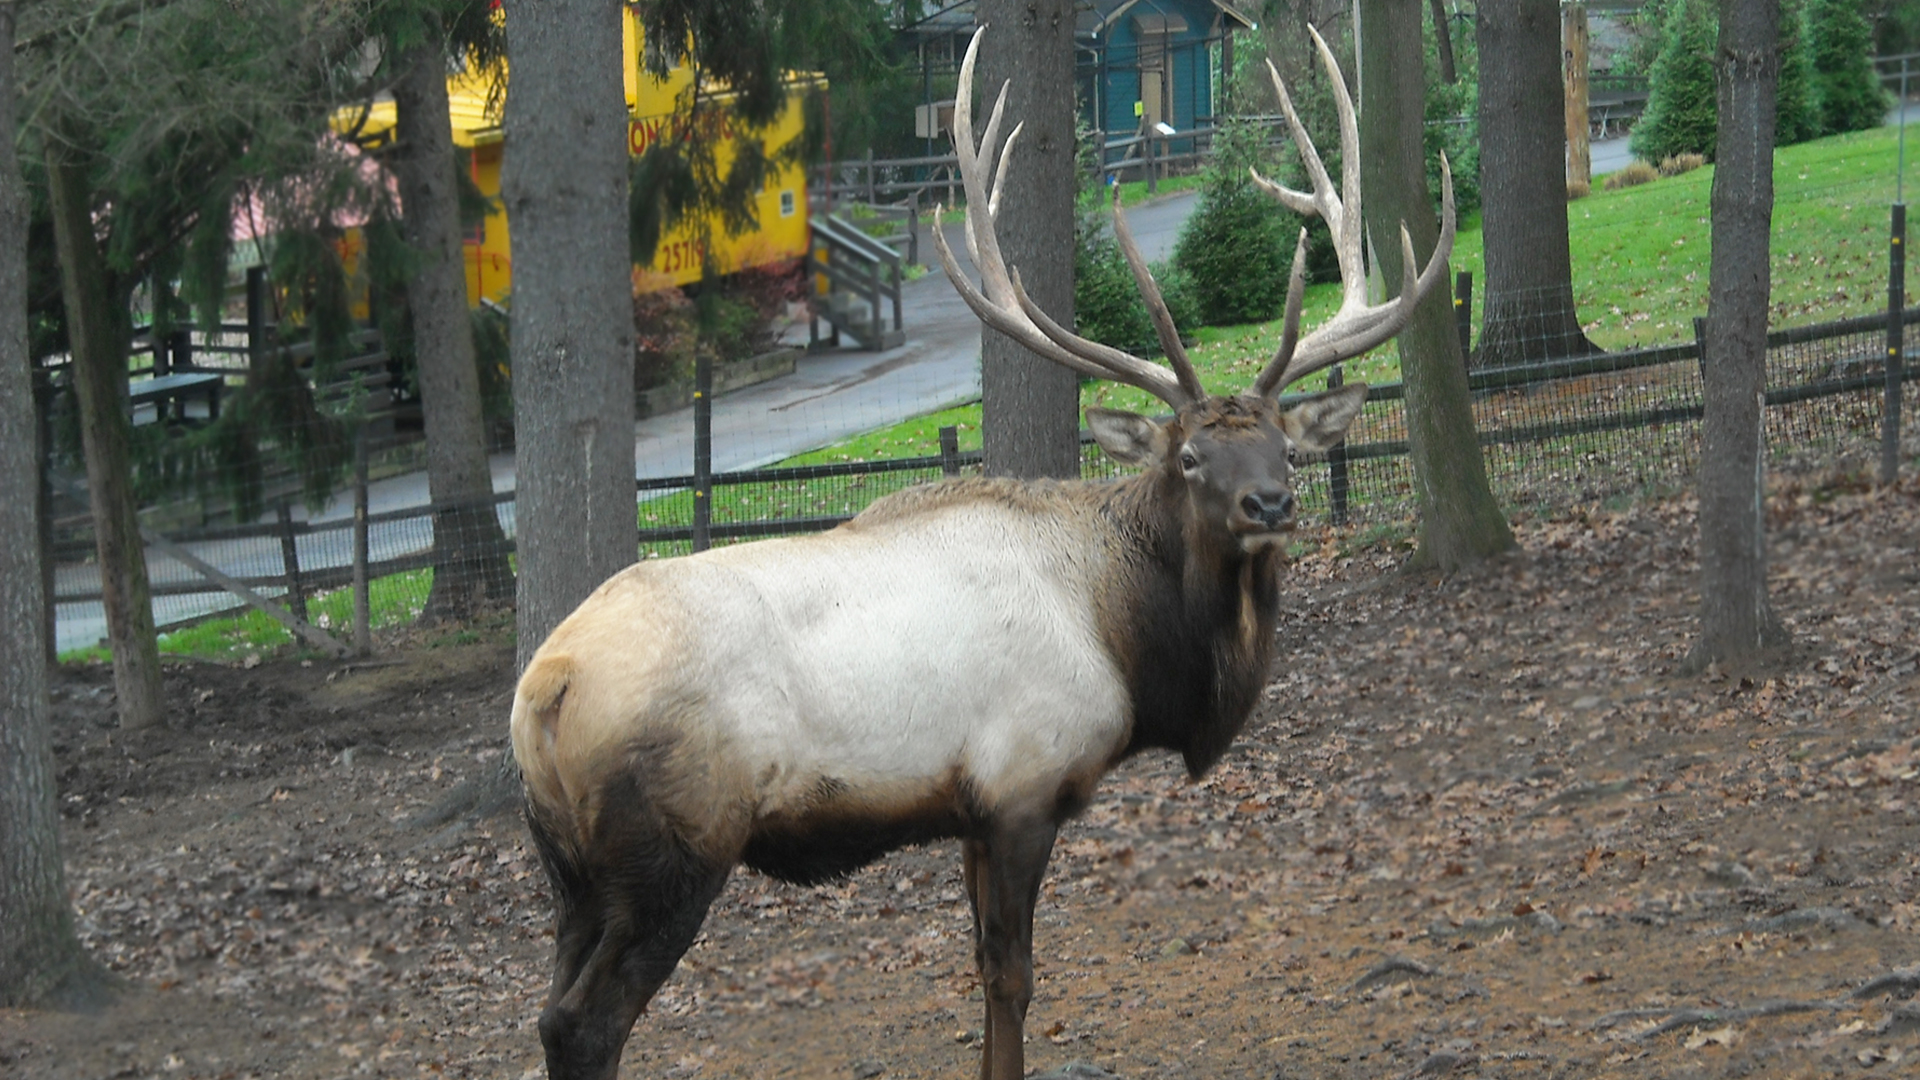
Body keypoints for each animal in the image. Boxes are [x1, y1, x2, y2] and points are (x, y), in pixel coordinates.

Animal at [509, 24, 1452, 1080]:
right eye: (1189, 455)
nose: (1273, 503)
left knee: (546, 1007)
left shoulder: (966, 812)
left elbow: (978, 970)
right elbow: (1012, 977)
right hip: (672, 850)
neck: (1127, 637)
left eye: (1287, 446)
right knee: (583, 1021)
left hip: (571, 874)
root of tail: (544, 689)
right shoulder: (1021, 789)